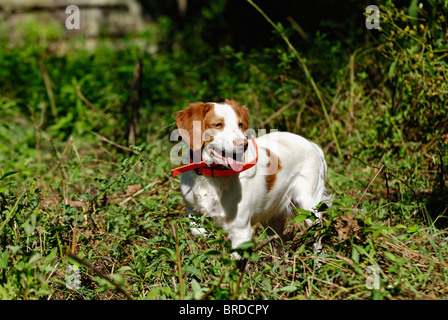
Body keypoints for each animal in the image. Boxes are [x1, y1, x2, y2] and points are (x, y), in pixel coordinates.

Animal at [172, 100, 332, 252]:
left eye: (240, 124)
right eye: (218, 124)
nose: (244, 144)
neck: (210, 176)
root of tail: (313, 145)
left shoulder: (240, 230)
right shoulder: (191, 208)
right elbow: (196, 229)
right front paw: (207, 235)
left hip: (309, 208)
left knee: (317, 240)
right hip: (273, 220)